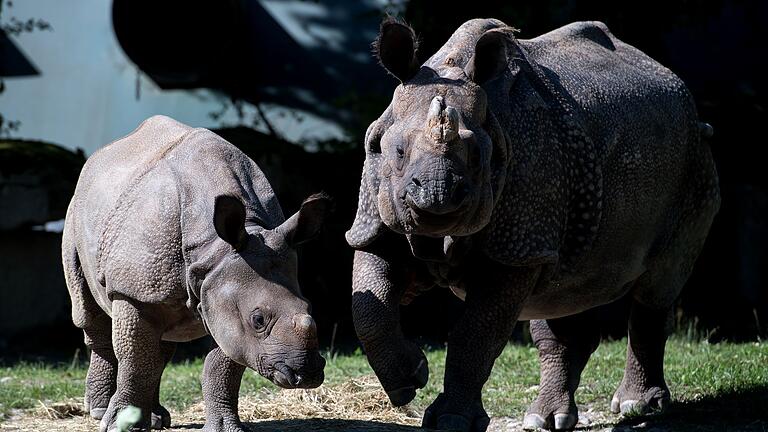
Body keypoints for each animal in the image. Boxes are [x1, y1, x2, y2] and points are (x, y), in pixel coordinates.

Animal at [63, 115, 330, 432]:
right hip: (76, 213)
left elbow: (222, 364)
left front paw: (226, 428)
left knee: (160, 345)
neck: (215, 250)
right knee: (90, 313)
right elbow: (135, 359)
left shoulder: (222, 293)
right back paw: (100, 411)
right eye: (259, 320)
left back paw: (156, 419)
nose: (306, 374)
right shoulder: (135, 290)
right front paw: (120, 426)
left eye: (309, 307)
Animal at [348, 18, 720, 430]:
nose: (437, 193)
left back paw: (636, 407)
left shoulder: (518, 246)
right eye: (397, 152)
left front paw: (450, 420)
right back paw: (546, 419)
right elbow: (369, 307)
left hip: (694, 158)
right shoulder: (375, 222)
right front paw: (408, 379)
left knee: (657, 285)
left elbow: (475, 333)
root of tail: (676, 84)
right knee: (566, 291)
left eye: (477, 156)